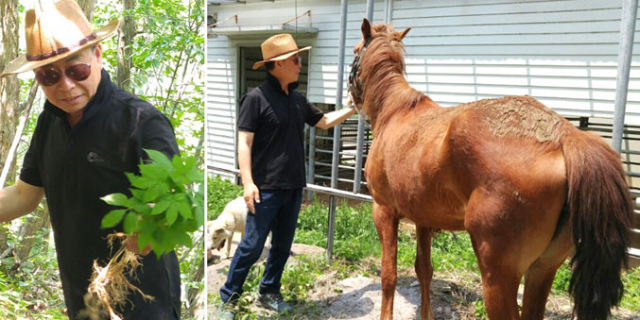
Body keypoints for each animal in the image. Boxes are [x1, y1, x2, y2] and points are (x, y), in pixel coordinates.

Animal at [350, 19, 636, 320]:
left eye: (356, 50)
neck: (395, 112)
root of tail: (563, 135)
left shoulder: (383, 211)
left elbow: (389, 275)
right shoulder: (423, 219)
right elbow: (424, 270)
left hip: (498, 276)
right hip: (542, 269)